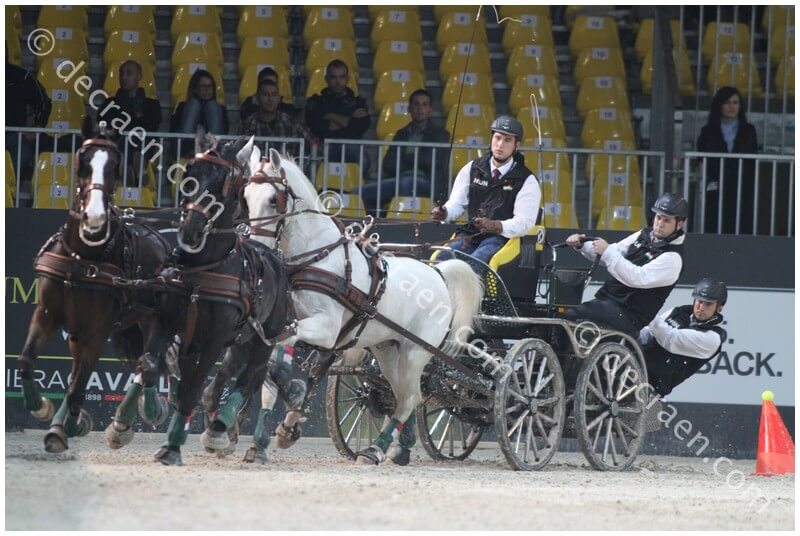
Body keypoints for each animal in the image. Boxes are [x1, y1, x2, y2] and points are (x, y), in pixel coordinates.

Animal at [18, 118, 171, 453]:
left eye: (115, 166)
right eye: (83, 162)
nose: (95, 217)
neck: (82, 258)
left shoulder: (98, 330)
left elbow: (79, 385)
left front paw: (65, 427)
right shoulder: (46, 314)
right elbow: (27, 362)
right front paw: (42, 409)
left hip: (151, 319)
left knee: (147, 363)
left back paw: (135, 416)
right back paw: (67, 421)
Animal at [148, 132, 293, 466]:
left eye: (222, 183)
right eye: (189, 174)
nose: (190, 229)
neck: (204, 270)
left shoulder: (213, 340)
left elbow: (192, 389)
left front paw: (172, 447)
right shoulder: (174, 329)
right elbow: (157, 368)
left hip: (264, 340)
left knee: (249, 378)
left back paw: (221, 426)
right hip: (240, 341)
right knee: (235, 377)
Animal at [241, 146, 484, 465]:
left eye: (272, 199)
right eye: (245, 196)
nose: (256, 246)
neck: (319, 258)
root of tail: (438, 273)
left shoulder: (327, 330)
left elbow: (288, 350)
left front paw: (289, 400)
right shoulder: (290, 324)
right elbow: (273, 375)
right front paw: (263, 441)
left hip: (415, 351)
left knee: (409, 398)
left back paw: (375, 449)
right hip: (388, 349)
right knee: (403, 394)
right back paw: (398, 446)